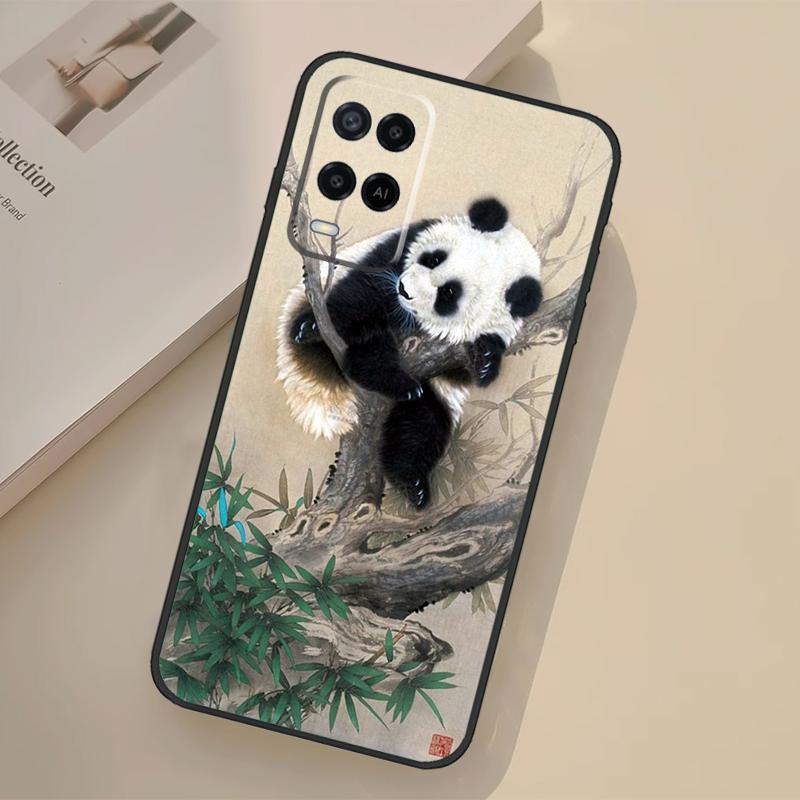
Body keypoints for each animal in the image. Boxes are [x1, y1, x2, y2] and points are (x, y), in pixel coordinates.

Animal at [276, 197, 543, 509]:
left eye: (449, 293)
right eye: (434, 259)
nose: (404, 289)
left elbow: (468, 367)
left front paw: (487, 358)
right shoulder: (401, 245)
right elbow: (366, 289)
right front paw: (314, 325)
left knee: (421, 424)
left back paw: (412, 481)